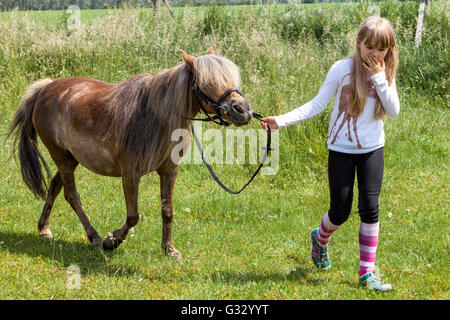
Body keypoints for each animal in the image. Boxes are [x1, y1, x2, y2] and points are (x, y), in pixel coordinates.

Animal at [7, 48, 253, 258]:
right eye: (207, 82)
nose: (243, 109)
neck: (155, 117)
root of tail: (45, 89)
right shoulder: (130, 174)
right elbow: (133, 216)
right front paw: (112, 241)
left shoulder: (169, 170)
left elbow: (167, 210)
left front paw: (169, 249)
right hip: (62, 157)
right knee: (72, 196)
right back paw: (95, 238)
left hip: (70, 158)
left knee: (55, 187)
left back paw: (44, 228)